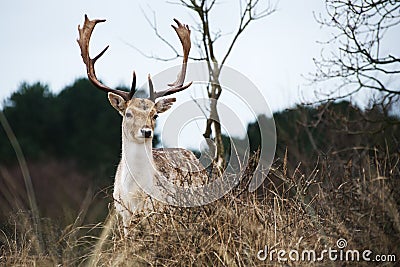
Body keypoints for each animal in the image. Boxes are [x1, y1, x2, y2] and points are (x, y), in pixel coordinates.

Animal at [77, 15, 211, 237]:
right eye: (128, 113)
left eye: (154, 114)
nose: (146, 131)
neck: (136, 195)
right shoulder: (123, 215)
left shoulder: (159, 212)